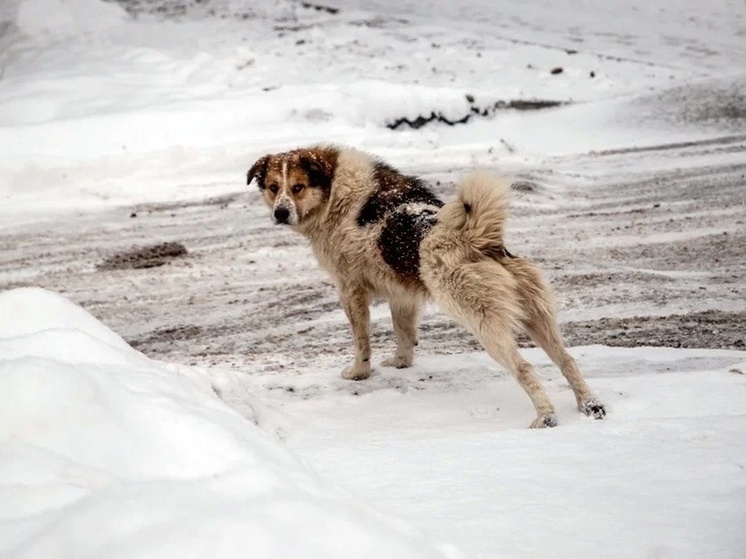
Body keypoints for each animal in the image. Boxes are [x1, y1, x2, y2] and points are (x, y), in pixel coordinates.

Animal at [246, 145, 604, 428]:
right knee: (566, 359)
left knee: (524, 367)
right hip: (535, 316)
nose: (280, 213)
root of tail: (476, 239)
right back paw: (589, 405)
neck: (335, 189)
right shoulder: (401, 292)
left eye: (298, 187)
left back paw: (546, 416)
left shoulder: (350, 290)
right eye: (273, 187)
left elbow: (362, 341)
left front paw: (360, 372)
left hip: (483, 322)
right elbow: (404, 333)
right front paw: (401, 364)